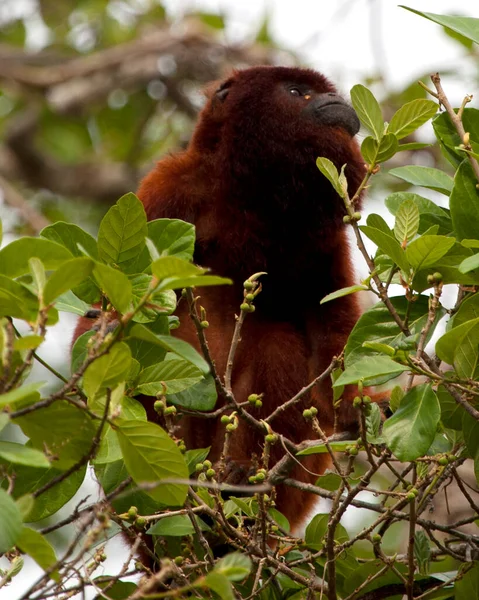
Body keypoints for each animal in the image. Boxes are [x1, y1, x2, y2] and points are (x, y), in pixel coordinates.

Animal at [77, 65, 366, 532]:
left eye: (324, 92)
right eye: (297, 92)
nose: (337, 101)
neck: (254, 197)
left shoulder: (328, 232)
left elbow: (331, 329)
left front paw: (355, 405)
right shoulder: (170, 189)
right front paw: (103, 335)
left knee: (277, 343)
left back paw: (241, 479)